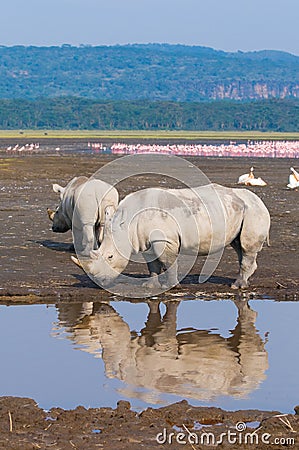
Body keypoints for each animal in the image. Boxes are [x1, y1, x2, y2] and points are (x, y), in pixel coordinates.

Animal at [74, 185, 270, 290]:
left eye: (110, 257)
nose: (98, 282)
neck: (127, 224)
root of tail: (259, 200)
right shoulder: (145, 240)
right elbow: (152, 264)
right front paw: (149, 286)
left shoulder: (164, 240)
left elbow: (168, 262)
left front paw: (171, 287)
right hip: (241, 210)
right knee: (239, 246)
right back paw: (244, 281)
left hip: (254, 211)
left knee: (246, 247)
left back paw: (237, 286)